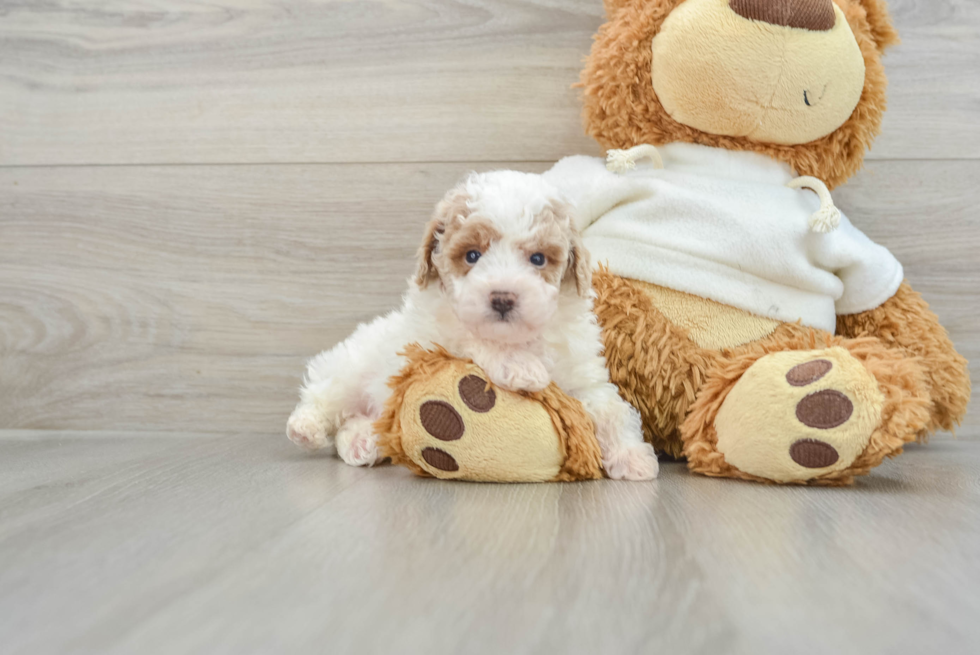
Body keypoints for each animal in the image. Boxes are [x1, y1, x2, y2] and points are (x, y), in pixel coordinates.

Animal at [288, 170, 664, 482]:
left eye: (538, 259)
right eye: (472, 255)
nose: (502, 298)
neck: (522, 338)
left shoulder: (583, 374)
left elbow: (610, 409)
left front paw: (632, 456)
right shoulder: (432, 340)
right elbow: (470, 337)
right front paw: (520, 367)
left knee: (354, 423)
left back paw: (362, 439)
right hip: (350, 367)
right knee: (324, 395)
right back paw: (306, 427)